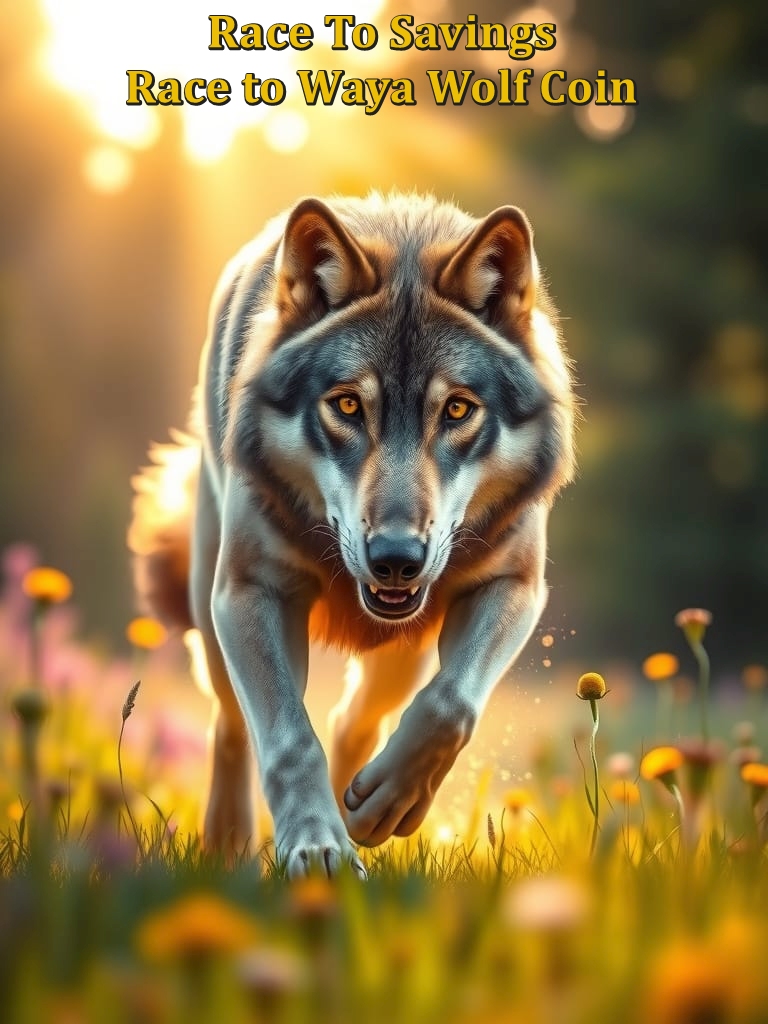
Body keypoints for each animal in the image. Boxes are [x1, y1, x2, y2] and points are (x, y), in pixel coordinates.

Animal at [128, 192, 575, 878]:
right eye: (346, 406)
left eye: (457, 409)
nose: (396, 559)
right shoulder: (252, 592)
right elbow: (289, 738)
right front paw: (317, 848)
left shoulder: (515, 585)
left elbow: (450, 703)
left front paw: (382, 805)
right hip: (212, 610)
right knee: (231, 725)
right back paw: (230, 846)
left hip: (406, 647)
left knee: (354, 719)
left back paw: (357, 800)